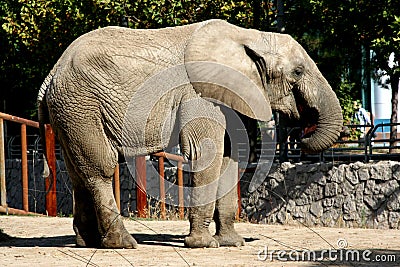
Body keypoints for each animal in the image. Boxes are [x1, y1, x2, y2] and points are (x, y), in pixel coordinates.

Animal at [37, 19, 342, 250]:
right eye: (298, 72)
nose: (303, 133)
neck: (247, 37)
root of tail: (51, 74)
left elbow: (230, 156)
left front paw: (232, 243)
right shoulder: (198, 93)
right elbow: (207, 154)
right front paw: (204, 245)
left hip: (70, 113)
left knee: (78, 172)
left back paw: (87, 242)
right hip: (81, 105)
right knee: (99, 168)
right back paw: (122, 244)